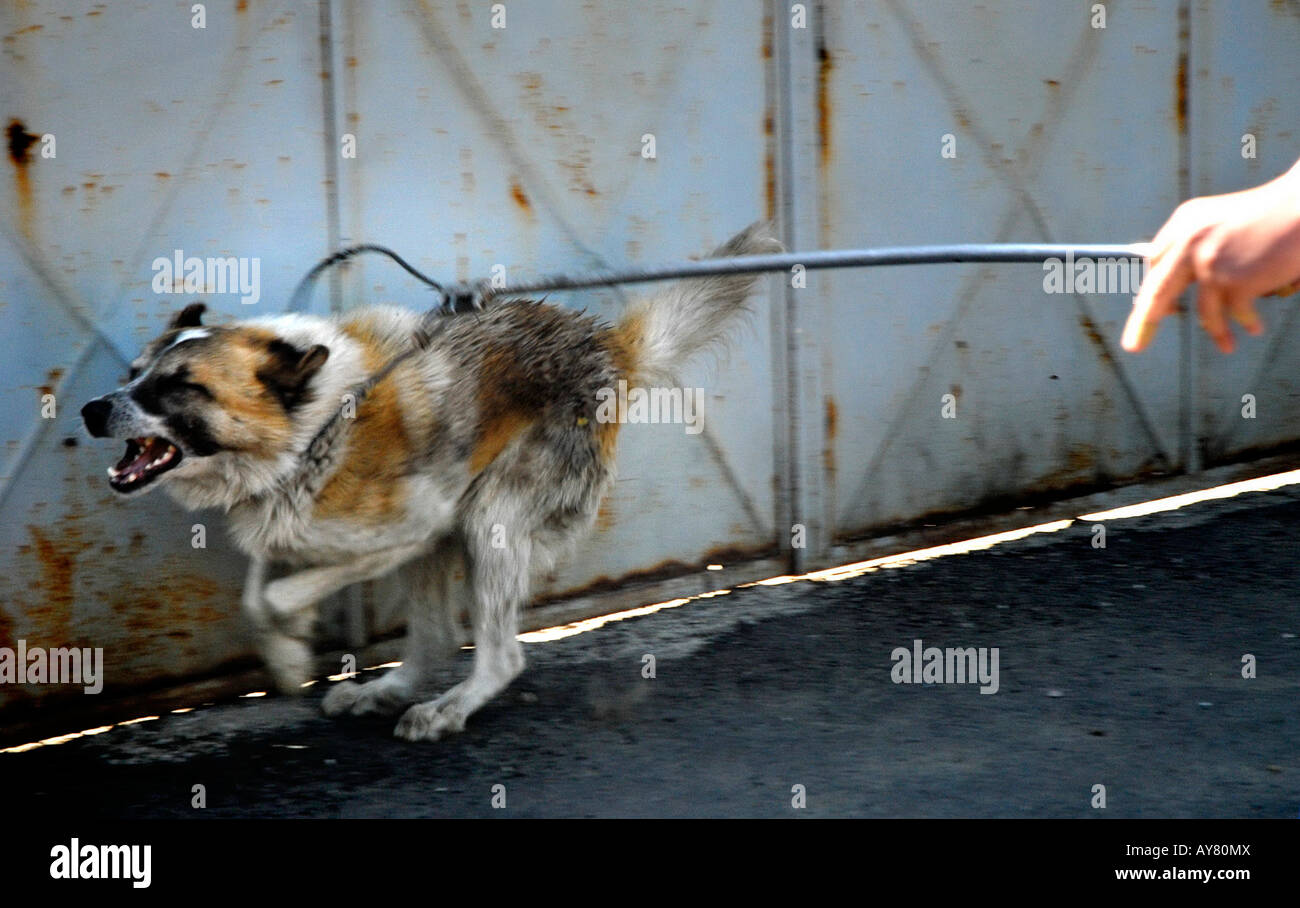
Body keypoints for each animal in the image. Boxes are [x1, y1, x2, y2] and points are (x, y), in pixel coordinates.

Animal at [83, 222, 780, 738]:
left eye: (180, 387)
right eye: (134, 373)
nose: (91, 410)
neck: (312, 425)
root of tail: (606, 344)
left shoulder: (410, 530)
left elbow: (279, 592)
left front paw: (292, 637)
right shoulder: (299, 518)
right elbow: (259, 585)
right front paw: (288, 653)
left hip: (487, 522)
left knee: (501, 656)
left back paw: (448, 709)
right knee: (437, 639)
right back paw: (385, 691)